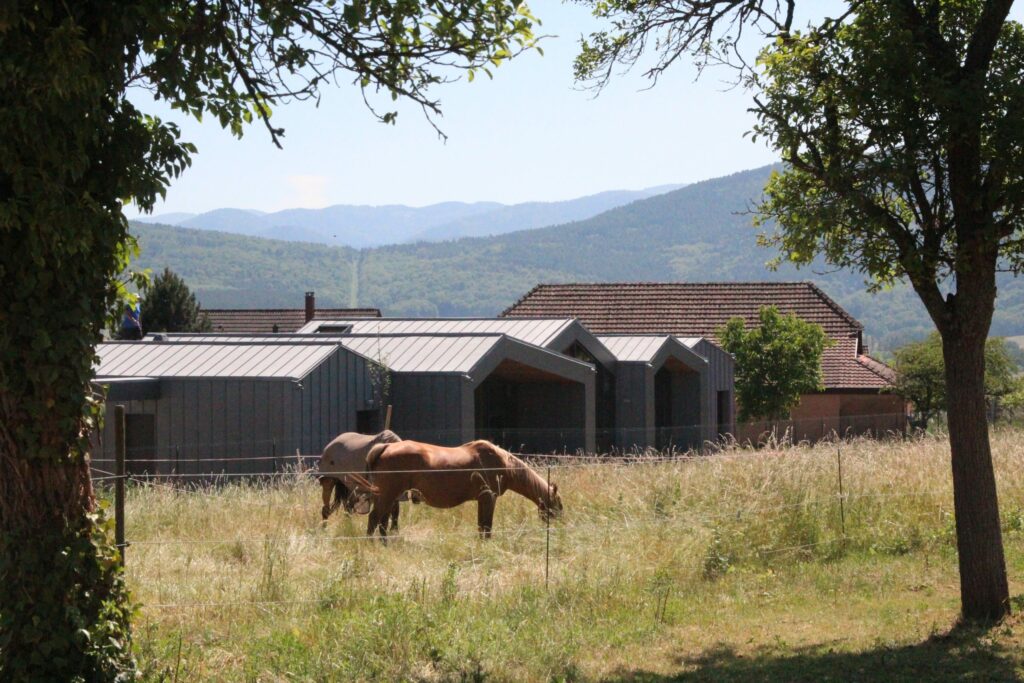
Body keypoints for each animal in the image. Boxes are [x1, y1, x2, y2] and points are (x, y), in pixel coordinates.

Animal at [364, 440, 565, 540]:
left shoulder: (482, 500)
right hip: (388, 495)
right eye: (558, 505)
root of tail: (386, 446)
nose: (560, 528)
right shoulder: (488, 498)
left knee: (382, 521)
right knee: (375, 518)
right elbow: (486, 527)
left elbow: (481, 526)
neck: (503, 464)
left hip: (389, 497)